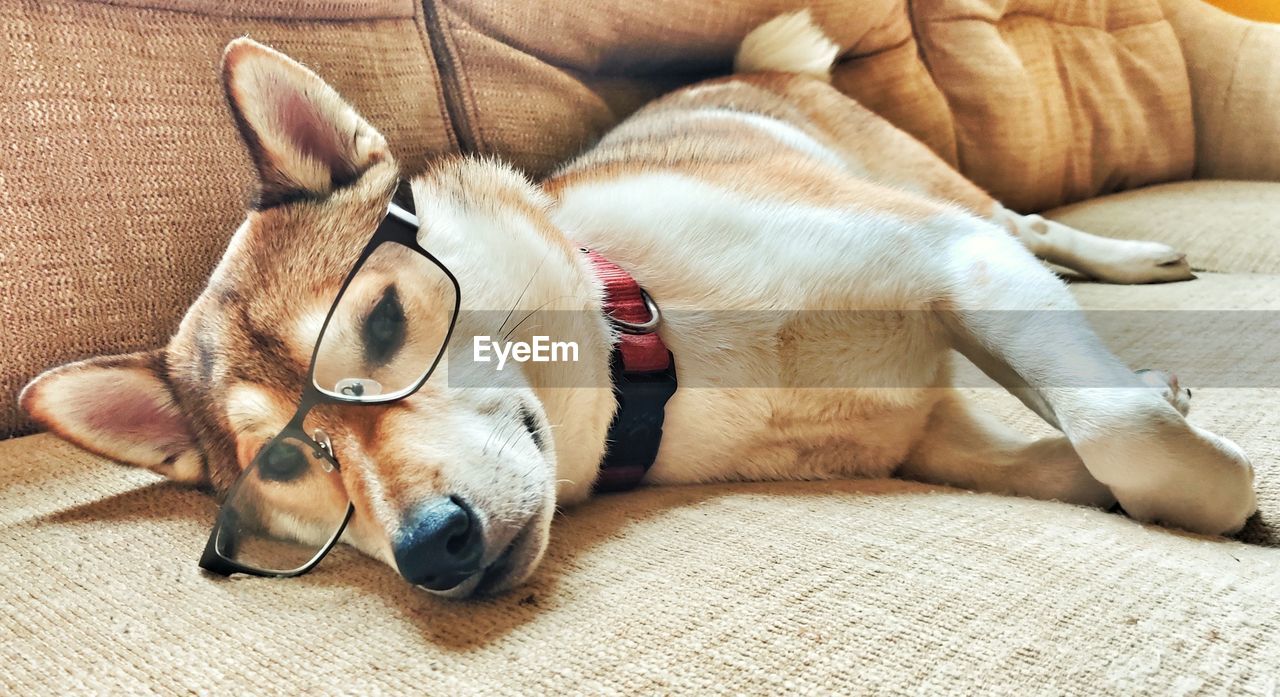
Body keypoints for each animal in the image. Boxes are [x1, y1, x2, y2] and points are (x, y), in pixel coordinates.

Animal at [22, 13, 1259, 595]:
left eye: (378, 324)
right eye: (288, 462)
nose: (428, 549)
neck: (653, 348)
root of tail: (752, 64)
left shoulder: (947, 255)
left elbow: (1116, 425)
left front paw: (1212, 478)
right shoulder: (928, 437)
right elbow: (1077, 456)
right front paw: (1174, 481)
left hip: (946, 194)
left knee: (1032, 223)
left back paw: (1134, 259)